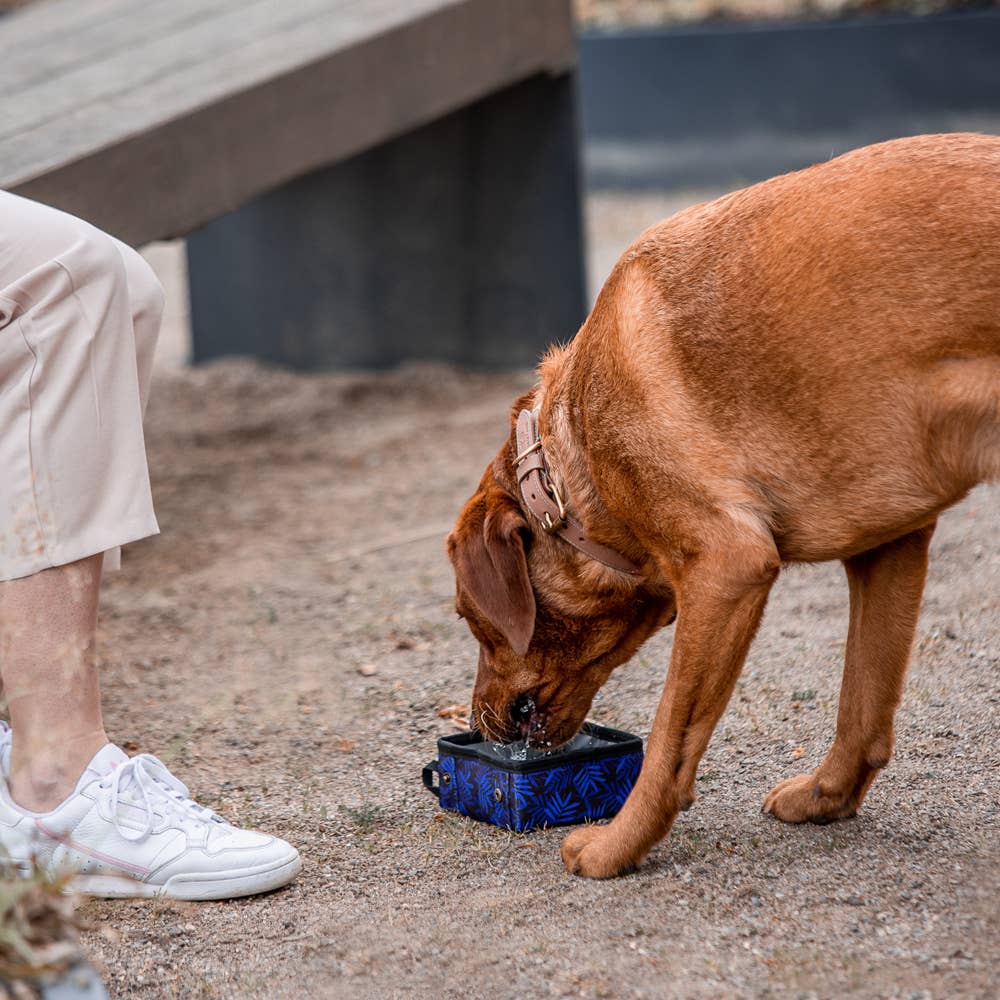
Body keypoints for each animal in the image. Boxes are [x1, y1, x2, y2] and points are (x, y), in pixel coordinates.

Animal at [448, 133, 1000, 876]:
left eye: (467, 617)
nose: (475, 721)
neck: (572, 456)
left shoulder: (727, 569)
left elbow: (668, 740)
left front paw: (616, 848)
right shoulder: (889, 547)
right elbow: (863, 702)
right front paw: (828, 796)